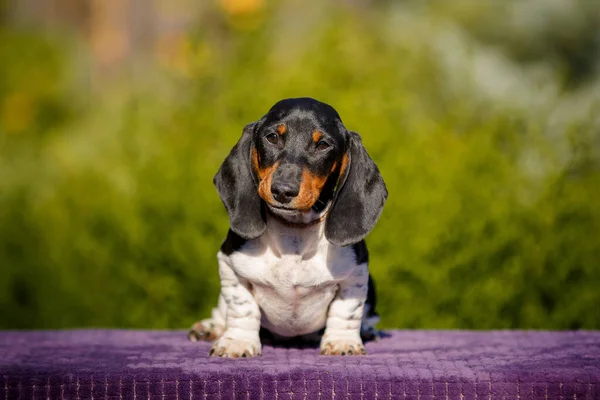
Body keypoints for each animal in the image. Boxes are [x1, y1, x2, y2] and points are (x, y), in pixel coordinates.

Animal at [189, 97, 390, 360]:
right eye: (272, 137)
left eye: (322, 144)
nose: (283, 191)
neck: (294, 233)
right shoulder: (230, 266)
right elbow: (242, 307)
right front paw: (238, 342)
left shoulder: (356, 274)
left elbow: (346, 311)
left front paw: (342, 341)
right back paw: (209, 327)